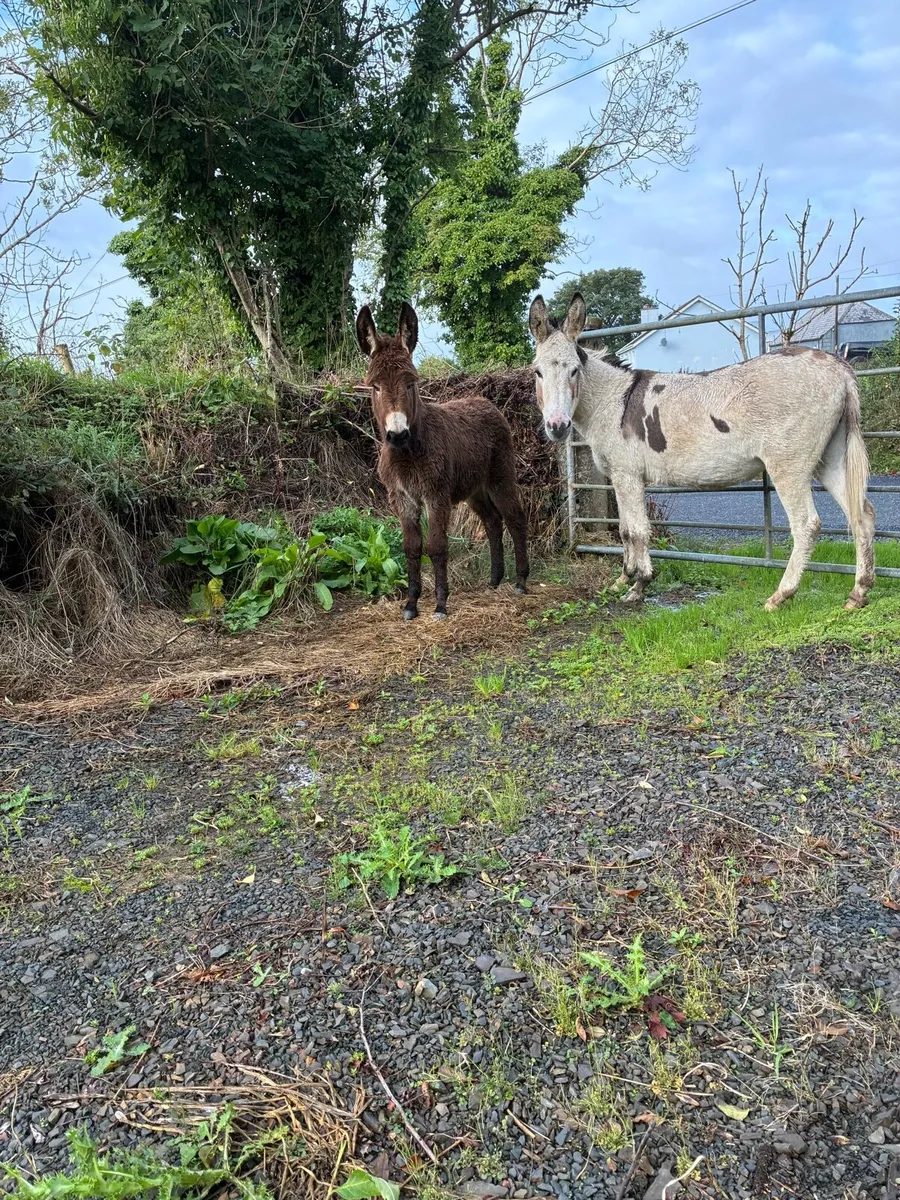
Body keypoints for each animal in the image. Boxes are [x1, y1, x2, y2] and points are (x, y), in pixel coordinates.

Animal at [356, 302, 529, 620]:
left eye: (410, 383)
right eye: (375, 387)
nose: (397, 434)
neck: (408, 453)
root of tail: (486, 403)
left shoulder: (436, 496)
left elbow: (436, 546)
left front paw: (440, 604)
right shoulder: (402, 498)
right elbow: (411, 548)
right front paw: (411, 604)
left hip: (500, 477)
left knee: (514, 517)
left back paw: (521, 580)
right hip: (475, 489)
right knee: (492, 521)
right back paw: (495, 579)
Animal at [528, 291, 876, 612]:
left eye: (574, 370)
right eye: (537, 372)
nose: (557, 426)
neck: (613, 400)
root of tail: (840, 367)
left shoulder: (627, 475)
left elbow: (638, 531)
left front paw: (640, 585)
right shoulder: (620, 477)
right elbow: (625, 531)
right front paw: (622, 580)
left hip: (788, 466)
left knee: (806, 525)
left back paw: (781, 595)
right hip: (830, 459)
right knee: (862, 515)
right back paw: (858, 593)